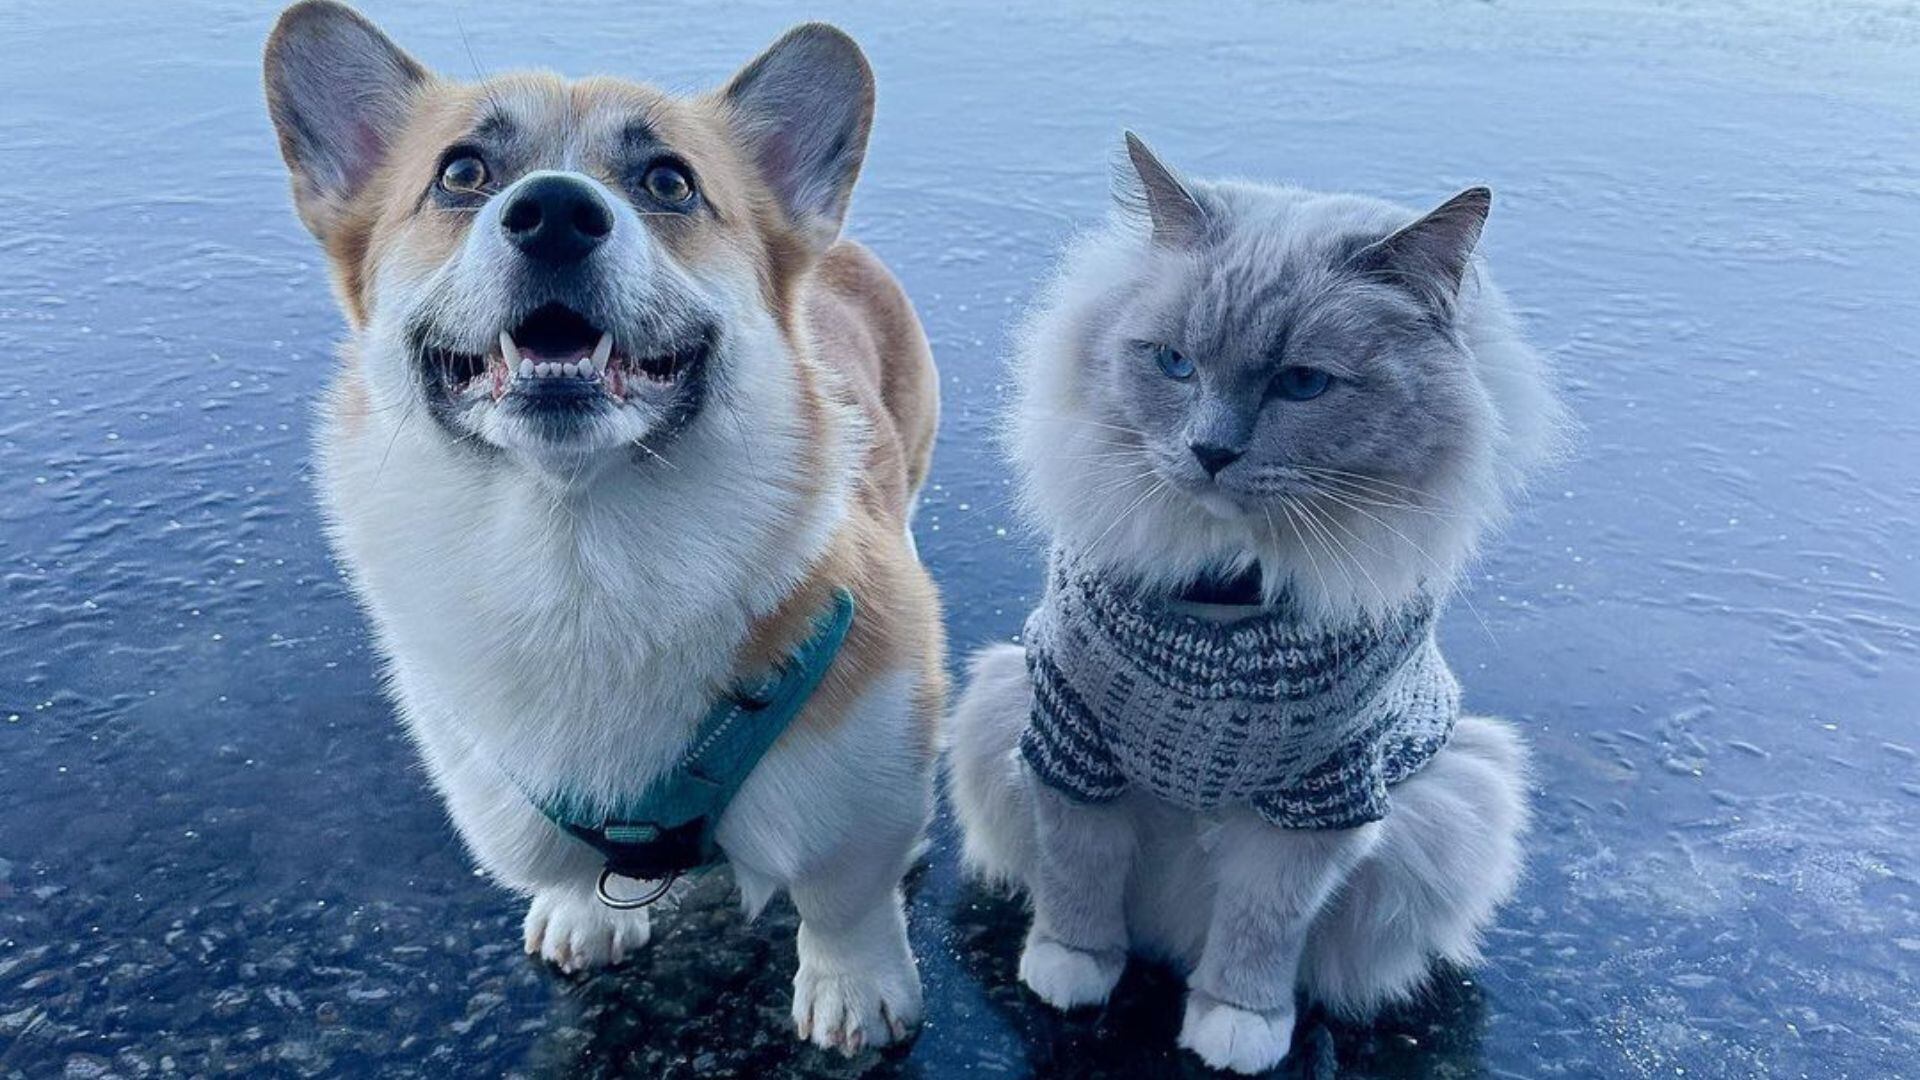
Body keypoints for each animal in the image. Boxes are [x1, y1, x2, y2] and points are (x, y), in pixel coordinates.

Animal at [263, 0, 944, 1045]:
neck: (577, 546)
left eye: (669, 181)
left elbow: (845, 898)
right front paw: (581, 913)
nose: (553, 212)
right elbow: (564, 867)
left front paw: (856, 989)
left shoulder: (859, 759)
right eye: (462, 173)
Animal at [940, 134, 1559, 1068]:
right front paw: (1071, 969)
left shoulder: (1317, 799)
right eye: (1174, 364)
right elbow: (1079, 879)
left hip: (1452, 801)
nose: (1210, 452)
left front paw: (1237, 1024)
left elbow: (1261, 929)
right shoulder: (1073, 745)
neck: (1224, 595)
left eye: (1302, 384)